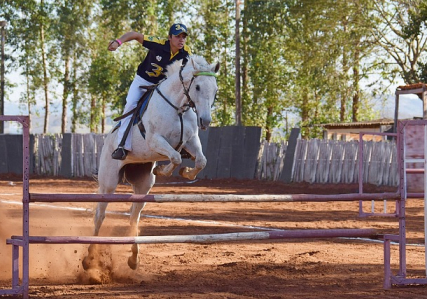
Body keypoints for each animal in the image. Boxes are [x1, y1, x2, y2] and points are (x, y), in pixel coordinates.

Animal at [82, 55, 219, 276]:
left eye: (215, 90)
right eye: (197, 87)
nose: (205, 121)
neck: (177, 107)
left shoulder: (190, 141)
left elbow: (199, 161)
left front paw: (185, 172)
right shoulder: (155, 140)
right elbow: (175, 157)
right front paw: (163, 170)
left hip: (143, 186)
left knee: (133, 218)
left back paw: (133, 259)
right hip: (108, 183)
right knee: (99, 216)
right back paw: (89, 260)